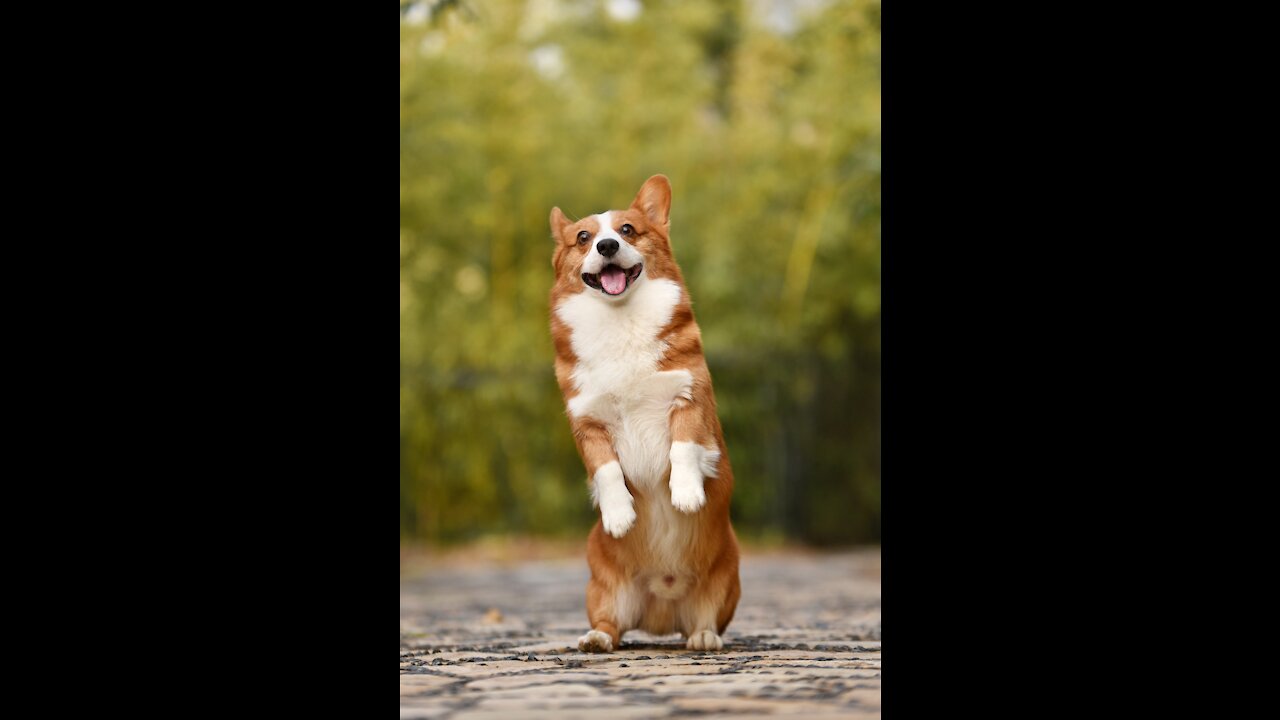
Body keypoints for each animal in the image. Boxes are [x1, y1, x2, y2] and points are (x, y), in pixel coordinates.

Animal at [547, 174, 742, 650]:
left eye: (628, 230)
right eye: (583, 238)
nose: (607, 246)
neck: (620, 322)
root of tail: (661, 611)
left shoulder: (689, 400)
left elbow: (683, 448)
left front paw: (686, 493)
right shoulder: (587, 425)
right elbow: (607, 470)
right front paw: (619, 514)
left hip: (728, 580)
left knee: (704, 618)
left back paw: (704, 637)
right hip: (601, 585)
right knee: (612, 625)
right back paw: (596, 639)